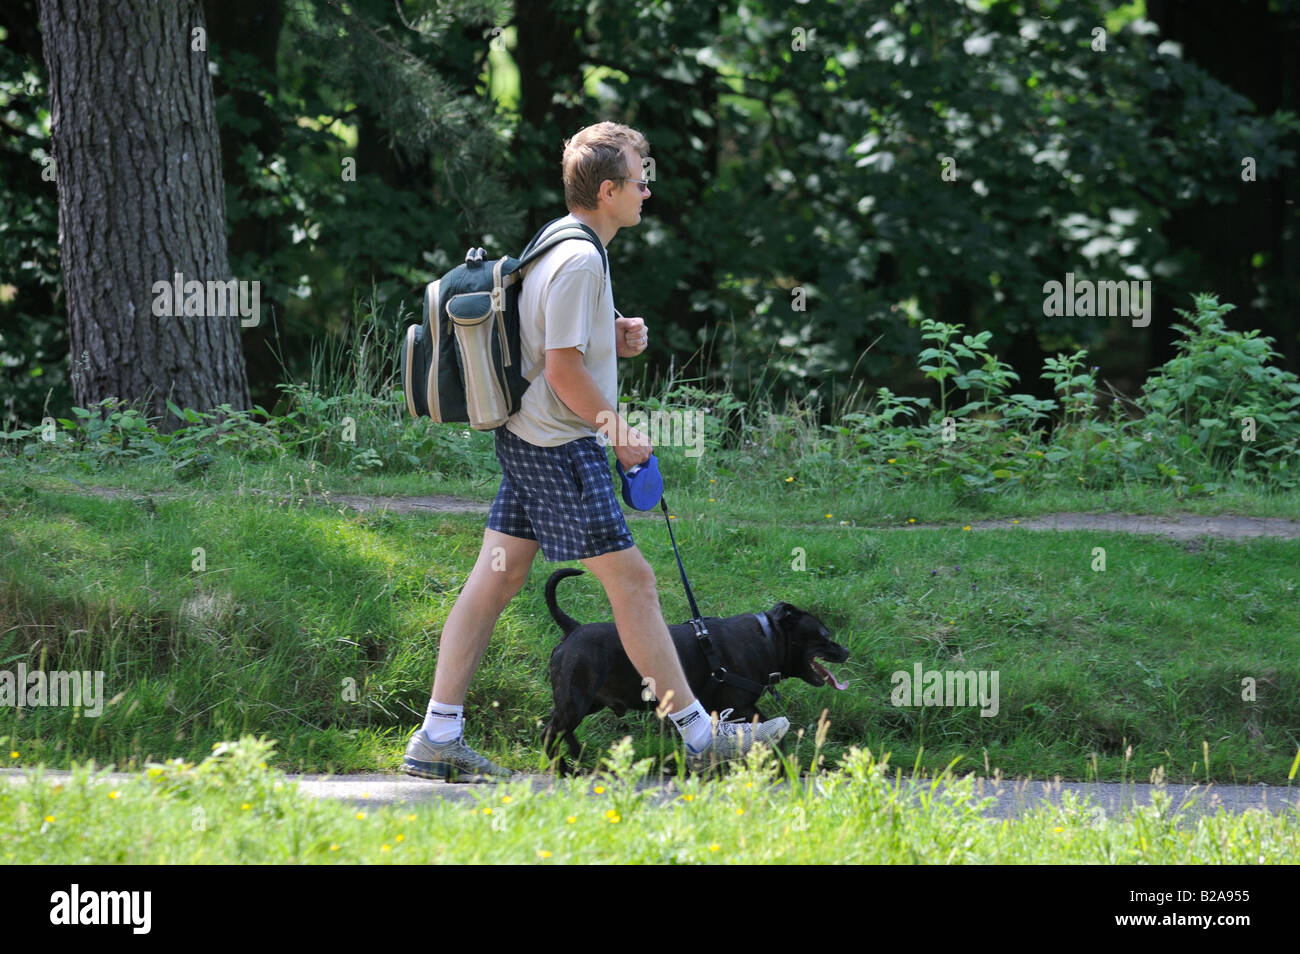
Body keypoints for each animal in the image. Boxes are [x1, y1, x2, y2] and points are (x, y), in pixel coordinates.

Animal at [540, 571, 852, 774]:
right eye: (824, 636)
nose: (847, 651)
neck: (769, 638)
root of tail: (572, 628)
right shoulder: (740, 706)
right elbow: (769, 731)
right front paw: (779, 763)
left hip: (585, 701)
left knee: (560, 727)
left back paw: (575, 756)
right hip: (576, 699)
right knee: (550, 732)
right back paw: (561, 768)